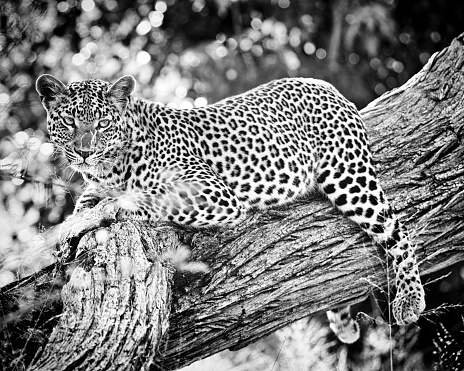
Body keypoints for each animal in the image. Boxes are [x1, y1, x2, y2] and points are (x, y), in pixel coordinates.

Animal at [36, 74, 426, 344]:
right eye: (70, 122)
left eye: (102, 123)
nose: (84, 152)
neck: (111, 167)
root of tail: (327, 85)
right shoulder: (96, 186)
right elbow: (91, 201)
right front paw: (68, 233)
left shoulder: (212, 192)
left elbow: (134, 198)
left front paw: (78, 225)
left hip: (349, 178)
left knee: (397, 229)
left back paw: (410, 299)